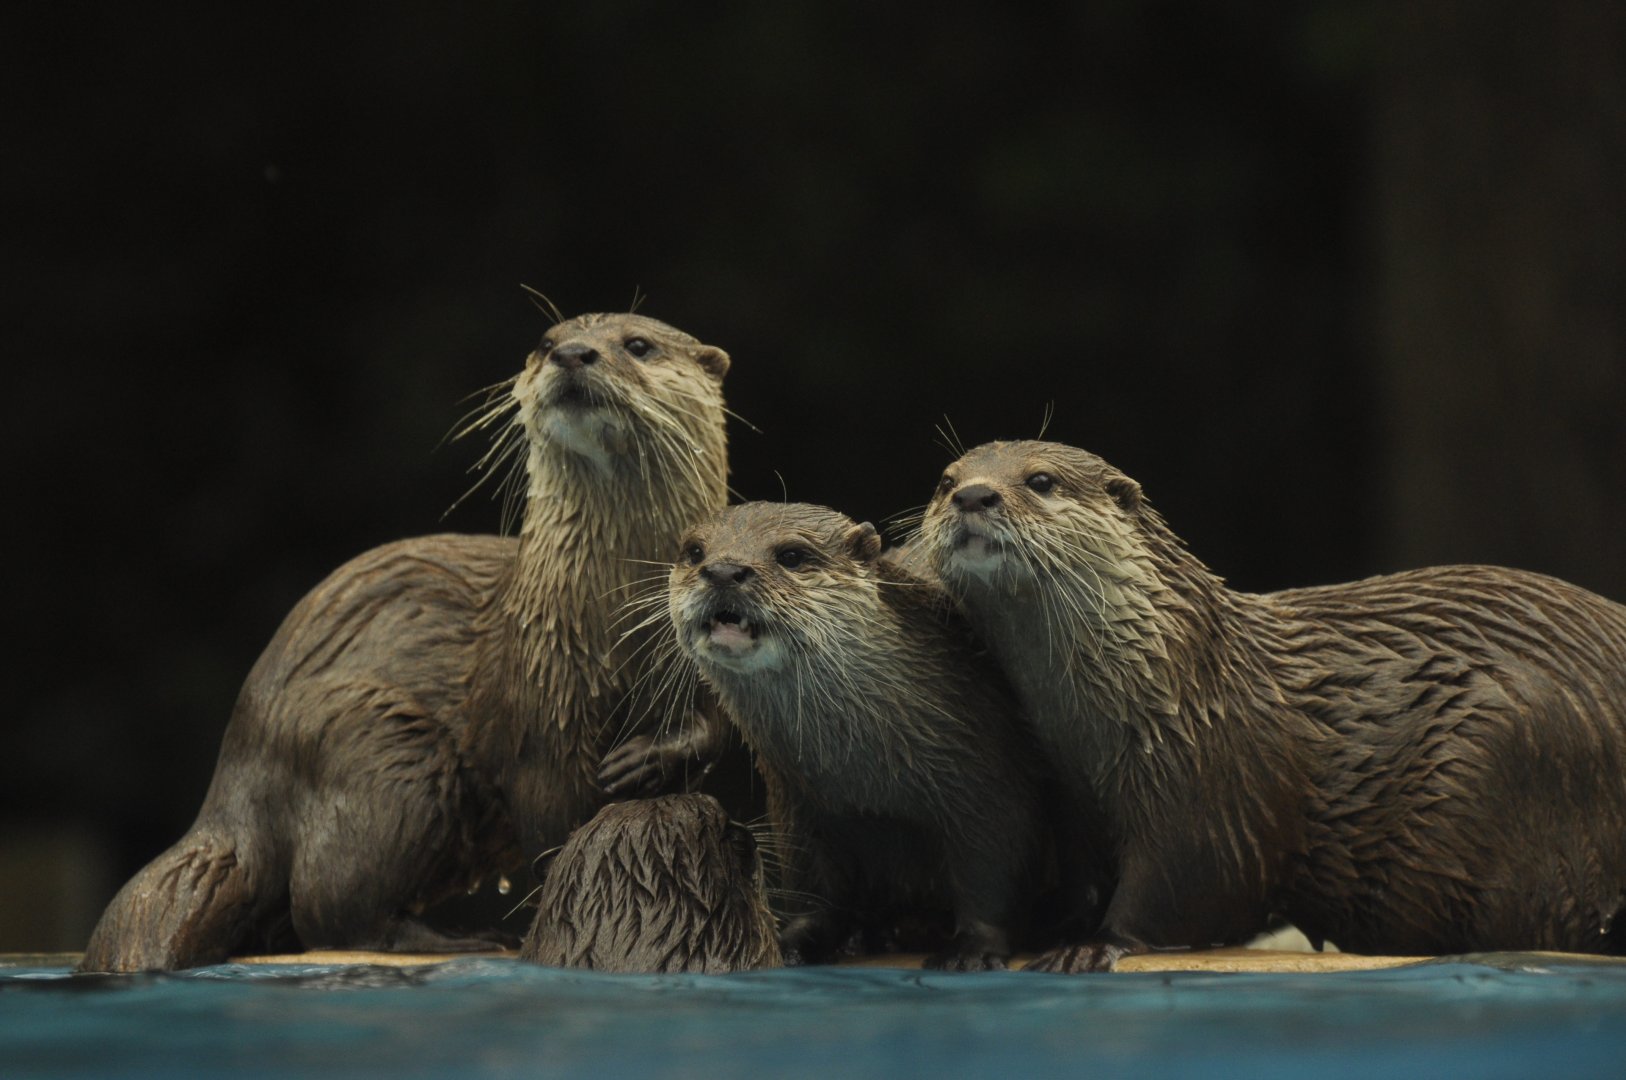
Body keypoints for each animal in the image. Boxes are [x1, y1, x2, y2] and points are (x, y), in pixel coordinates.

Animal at [79, 313, 734, 973]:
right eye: (544, 343)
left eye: (638, 346)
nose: (572, 353)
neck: (615, 616)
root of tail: (232, 780)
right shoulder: (540, 706)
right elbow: (551, 822)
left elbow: (715, 729)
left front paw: (652, 757)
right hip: (375, 745)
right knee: (332, 906)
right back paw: (456, 938)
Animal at [664, 502, 1047, 971]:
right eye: (695, 552)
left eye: (791, 555)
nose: (722, 570)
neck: (869, 776)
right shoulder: (796, 797)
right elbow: (811, 881)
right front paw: (793, 943)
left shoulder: (990, 773)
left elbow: (990, 869)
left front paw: (971, 949)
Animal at [920, 439, 1626, 971]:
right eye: (945, 479)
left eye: (1040, 480)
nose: (973, 495)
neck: (1175, 696)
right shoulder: (1074, 804)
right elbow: (1082, 882)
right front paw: (1013, 932)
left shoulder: (1214, 793)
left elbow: (1184, 891)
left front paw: (1090, 948)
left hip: (1512, 752)